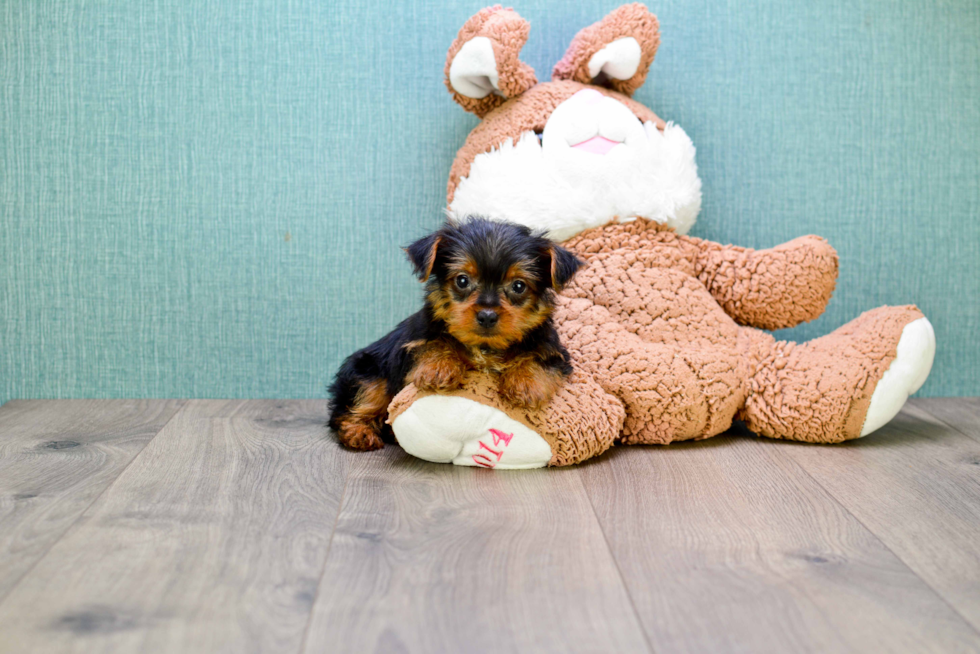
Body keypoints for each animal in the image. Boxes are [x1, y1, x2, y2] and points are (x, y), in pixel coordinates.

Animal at [334, 218, 584, 454]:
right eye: (462, 280)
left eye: (519, 286)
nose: (487, 315)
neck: (485, 346)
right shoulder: (413, 341)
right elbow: (432, 343)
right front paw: (439, 367)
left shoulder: (554, 351)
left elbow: (540, 358)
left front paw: (525, 382)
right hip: (368, 370)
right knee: (358, 403)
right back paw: (358, 432)